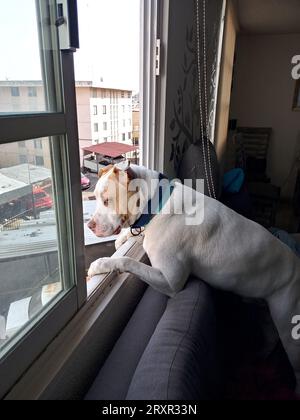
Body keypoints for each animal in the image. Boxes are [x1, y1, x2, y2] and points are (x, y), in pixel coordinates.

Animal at [86, 161, 300, 394]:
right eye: (95, 197)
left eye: (107, 200)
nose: (90, 225)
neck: (158, 202)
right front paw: (123, 238)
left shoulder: (170, 282)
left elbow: (128, 261)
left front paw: (101, 264)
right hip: (267, 314)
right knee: (271, 338)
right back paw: (259, 356)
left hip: (291, 330)